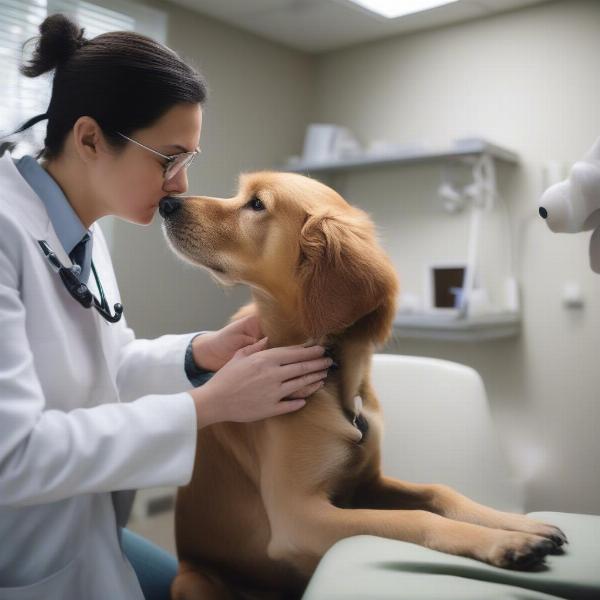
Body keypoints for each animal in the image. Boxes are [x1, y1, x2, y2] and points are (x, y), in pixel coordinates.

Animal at [159, 172, 568, 600]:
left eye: (256, 204)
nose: (166, 204)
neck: (335, 379)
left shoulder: (366, 484)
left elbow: (440, 491)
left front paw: (516, 522)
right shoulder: (298, 516)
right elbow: (417, 519)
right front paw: (505, 541)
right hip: (192, 581)